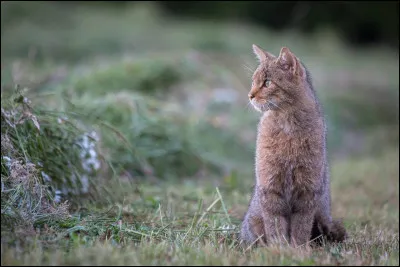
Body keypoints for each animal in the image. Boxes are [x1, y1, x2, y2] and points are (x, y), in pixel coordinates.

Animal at [239, 44, 346, 249]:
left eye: (267, 83)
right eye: (253, 81)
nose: (250, 95)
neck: (288, 128)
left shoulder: (307, 192)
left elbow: (300, 228)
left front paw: (298, 250)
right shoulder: (271, 188)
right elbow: (275, 226)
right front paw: (279, 249)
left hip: (325, 219)